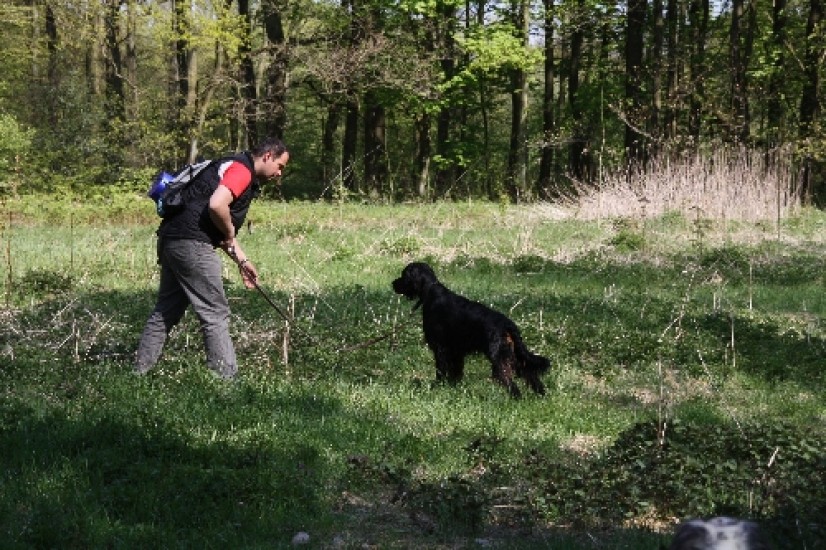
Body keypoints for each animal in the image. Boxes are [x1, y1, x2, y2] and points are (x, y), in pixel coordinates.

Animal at [392, 262, 550, 397]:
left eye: (403, 275)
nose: (393, 283)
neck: (430, 291)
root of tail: (508, 324)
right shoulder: (456, 351)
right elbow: (456, 373)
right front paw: (453, 389)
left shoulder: (440, 348)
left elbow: (441, 371)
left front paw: (437, 387)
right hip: (512, 354)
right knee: (529, 373)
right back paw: (541, 396)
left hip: (498, 357)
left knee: (510, 382)